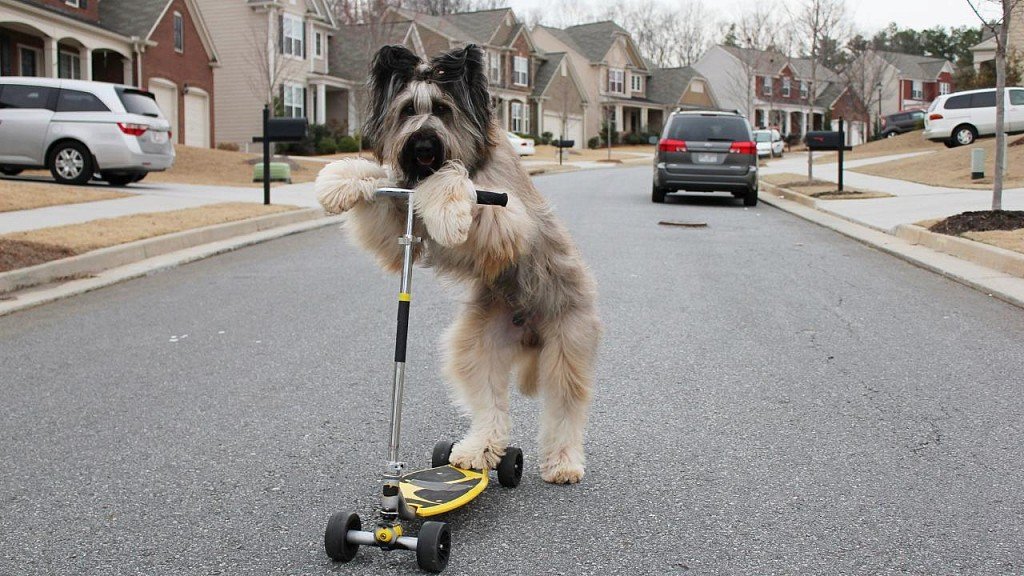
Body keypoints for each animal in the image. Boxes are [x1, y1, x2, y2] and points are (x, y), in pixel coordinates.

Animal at [317, 44, 598, 481]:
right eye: (407, 110)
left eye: (442, 110)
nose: (422, 145)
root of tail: (530, 335)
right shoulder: (400, 220)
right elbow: (382, 188)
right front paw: (340, 180)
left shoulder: (508, 219)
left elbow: (455, 185)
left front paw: (448, 206)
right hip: (477, 346)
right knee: (490, 405)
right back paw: (476, 452)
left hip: (566, 345)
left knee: (564, 409)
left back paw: (563, 462)